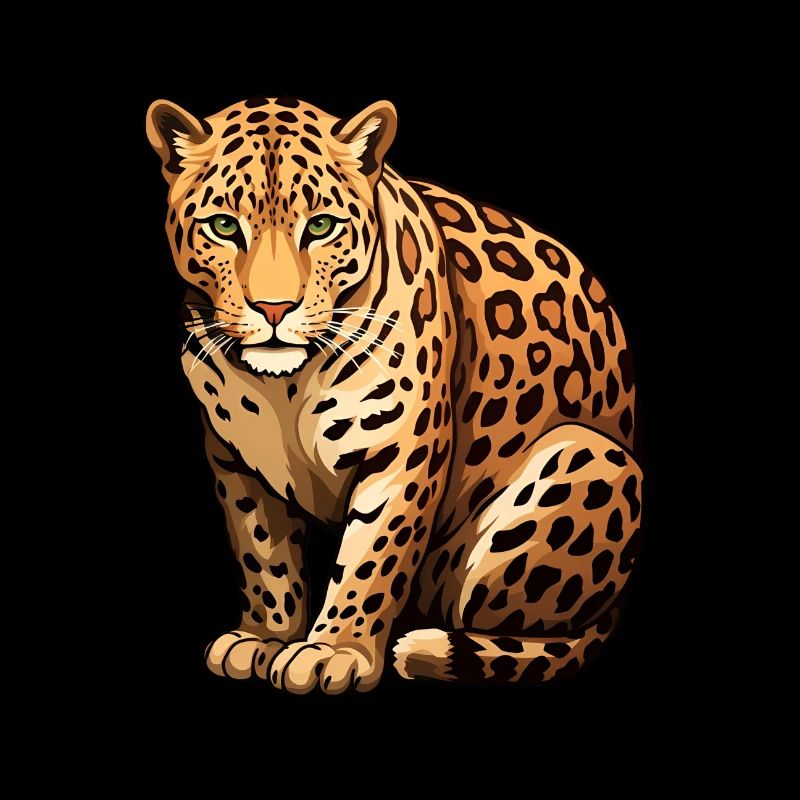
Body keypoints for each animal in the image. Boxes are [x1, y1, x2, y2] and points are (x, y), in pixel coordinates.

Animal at [146, 95, 643, 694]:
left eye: (321, 226)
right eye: (222, 226)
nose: (273, 308)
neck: (283, 387)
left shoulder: (403, 448)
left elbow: (371, 557)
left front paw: (334, 650)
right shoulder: (233, 456)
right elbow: (263, 554)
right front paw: (266, 636)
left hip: (590, 457)